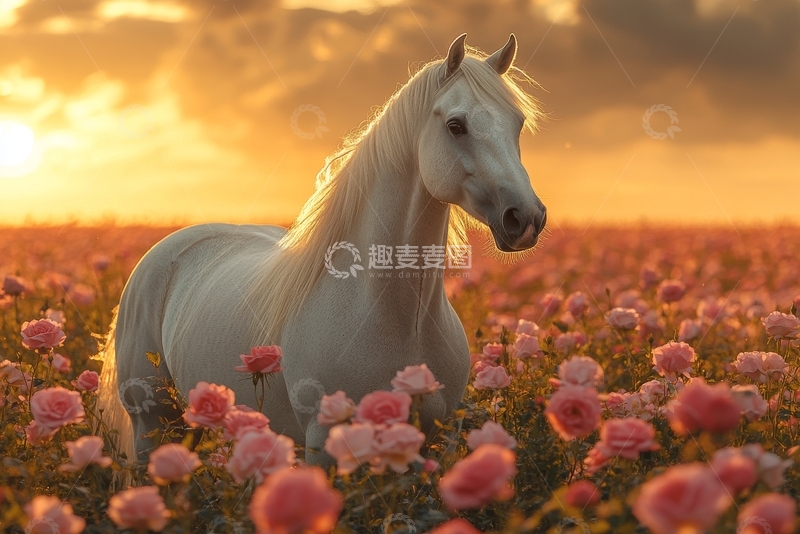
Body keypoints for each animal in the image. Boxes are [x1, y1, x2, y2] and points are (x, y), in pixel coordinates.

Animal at [98, 33, 548, 464]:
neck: (404, 318)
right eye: (456, 125)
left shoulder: (435, 441)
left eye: (518, 123)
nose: (525, 218)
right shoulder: (323, 443)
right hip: (152, 425)